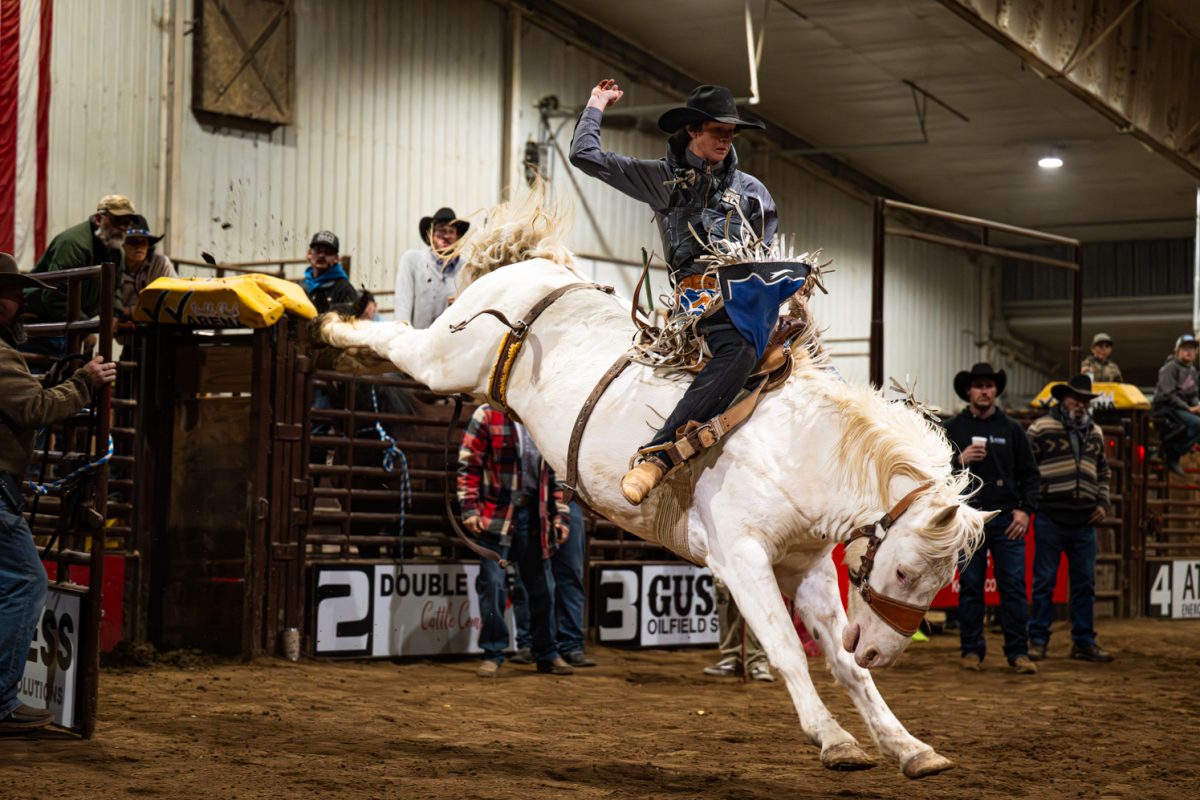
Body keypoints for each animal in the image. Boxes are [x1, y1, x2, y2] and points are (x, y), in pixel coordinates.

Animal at [314, 191, 988, 777]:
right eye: (904, 571)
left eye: (941, 581)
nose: (884, 651)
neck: (797, 450)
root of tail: (537, 269)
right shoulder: (742, 559)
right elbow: (788, 650)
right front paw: (834, 739)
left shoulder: (811, 567)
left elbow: (844, 666)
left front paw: (908, 747)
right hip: (446, 358)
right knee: (398, 336)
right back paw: (332, 329)